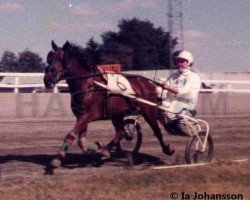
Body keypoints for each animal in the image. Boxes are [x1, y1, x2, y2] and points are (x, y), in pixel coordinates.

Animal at [44, 40, 174, 167]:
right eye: (49, 58)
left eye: (62, 59)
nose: (48, 79)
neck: (89, 85)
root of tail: (149, 83)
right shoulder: (81, 116)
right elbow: (82, 142)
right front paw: (98, 147)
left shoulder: (87, 115)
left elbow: (70, 135)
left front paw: (57, 159)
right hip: (117, 114)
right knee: (121, 132)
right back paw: (106, 151)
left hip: (148, 111)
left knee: (156, 131)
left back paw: (167, 150)